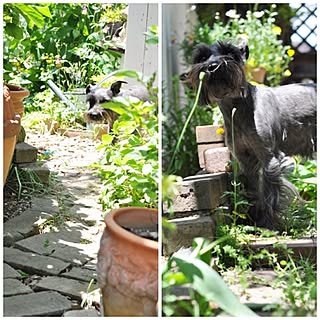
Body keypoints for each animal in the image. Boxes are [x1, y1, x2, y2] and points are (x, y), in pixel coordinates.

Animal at [184, 40, 316, 230]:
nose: (213, 66)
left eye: (230, 53)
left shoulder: (269, 160)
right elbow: (253, 191)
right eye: (201, 57)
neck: (237, 109)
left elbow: (270, 196)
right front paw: (253, 218)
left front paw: (268, 223)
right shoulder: (246, 161)